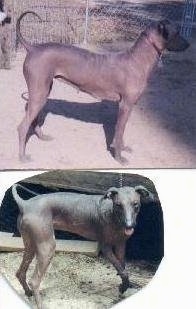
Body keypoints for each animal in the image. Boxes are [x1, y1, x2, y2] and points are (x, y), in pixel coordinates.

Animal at [11, 183, 155, 308]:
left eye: (136, 204)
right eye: (119, 205)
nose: (129, 225)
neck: (112, 214)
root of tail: (25, 204)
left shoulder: (120, 245)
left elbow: (122, 269)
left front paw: (123, 287)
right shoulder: (106, 247)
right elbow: (123, 272)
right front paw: (123, 287)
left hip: (31, 246)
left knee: (20, 273)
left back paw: (28, 292)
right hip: (47, 247)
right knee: (34, 281)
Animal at [16, 11, 189, 164]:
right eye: (177, 32)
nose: (188, 44)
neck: (138, 60)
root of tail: (33, 48)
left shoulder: (125, 107)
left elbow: (120, 131)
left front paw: (121, 148)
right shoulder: (125, 105)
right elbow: (119, 131)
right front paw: (119, 158)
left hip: (42, 93)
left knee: (34, 120)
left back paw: (42, 137)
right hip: (39, 93)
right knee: (22, 127)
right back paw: (22, 157)